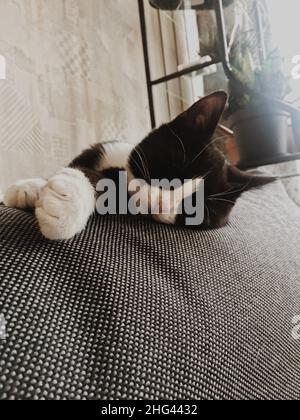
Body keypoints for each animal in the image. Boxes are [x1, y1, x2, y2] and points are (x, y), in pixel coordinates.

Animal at [3, 93, 274, 241]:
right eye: (171, 172)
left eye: (198, 210)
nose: (161, 204)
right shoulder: (100, 149)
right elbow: (77, 166)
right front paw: (30, 188)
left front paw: (64, 206)